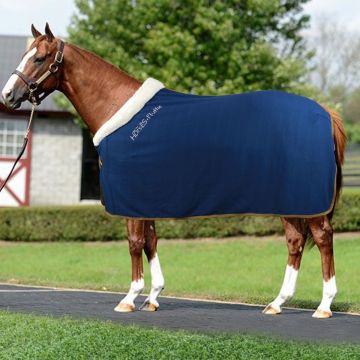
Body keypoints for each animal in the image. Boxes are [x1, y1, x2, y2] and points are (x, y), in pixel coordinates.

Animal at [1, 24, 346, 318]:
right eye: (25, 55)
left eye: (40, 58)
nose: (7, 96)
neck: (119, 108)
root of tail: (324, 113)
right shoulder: (144, 198)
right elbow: (151, 242)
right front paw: (153, 297)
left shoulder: (131, 196)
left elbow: (135, 242)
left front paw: (130, 298)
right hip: (290, 198)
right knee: (295, 241)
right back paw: (277, 303)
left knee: (322, 238)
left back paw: (324, 305)